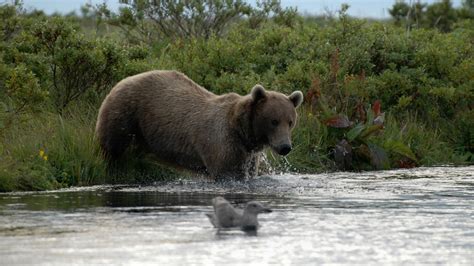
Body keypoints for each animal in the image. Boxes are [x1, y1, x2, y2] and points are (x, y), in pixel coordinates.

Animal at [96, 69, 304, 180]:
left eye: (290, 122)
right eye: (273, 121)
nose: (285, 147)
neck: (242, 132)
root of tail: (120, 81)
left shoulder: (249, 155)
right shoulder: (222, 144)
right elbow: (227, 173)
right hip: (124, 117)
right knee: (113, 150)